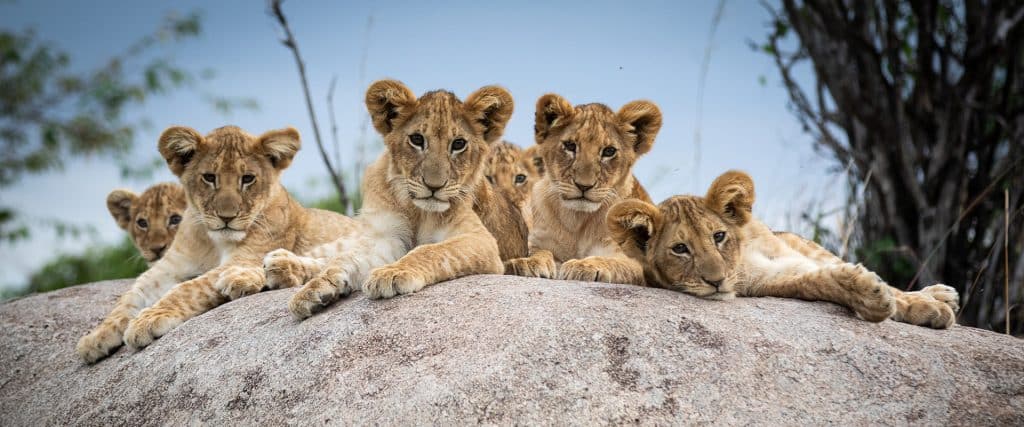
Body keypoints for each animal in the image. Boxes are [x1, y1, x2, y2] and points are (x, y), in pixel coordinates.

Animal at [76, 126, 358, 363]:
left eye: (247, 179)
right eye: (209, 178)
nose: (227, 216)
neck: (213, 241)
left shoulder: (245, 256)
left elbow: (187, 289)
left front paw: (147, 320)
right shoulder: (166, 268)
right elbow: (127, 299)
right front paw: (95, 338)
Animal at [262, 79, 525, 319]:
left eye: (458, 144)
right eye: (417, 139)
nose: (434, 186)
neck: (418, 210)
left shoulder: (481, 241)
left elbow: (430, 250)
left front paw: (391, 274)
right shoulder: (387, 237)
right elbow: (347, 259)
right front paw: (315, 289)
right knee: (333, 252)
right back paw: (280, 264)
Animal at [504, 93, 662, 286]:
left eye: (609, 151)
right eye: (570, 146)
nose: (584, 186)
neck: (577, 221)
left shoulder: (632, 260)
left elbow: (611, 262)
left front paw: (583, 266)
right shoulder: (540, 241)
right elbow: (540, 252)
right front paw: (528, 262)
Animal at [607, 170, 960, 329]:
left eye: (718, 236)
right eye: (680, 249)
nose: (716, 282)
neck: (741, 258)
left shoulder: (789, 256)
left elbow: (889, 289)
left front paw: (926, 305)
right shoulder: (770, 279)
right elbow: (819, 281)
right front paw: (873, 298)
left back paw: (941, 294)